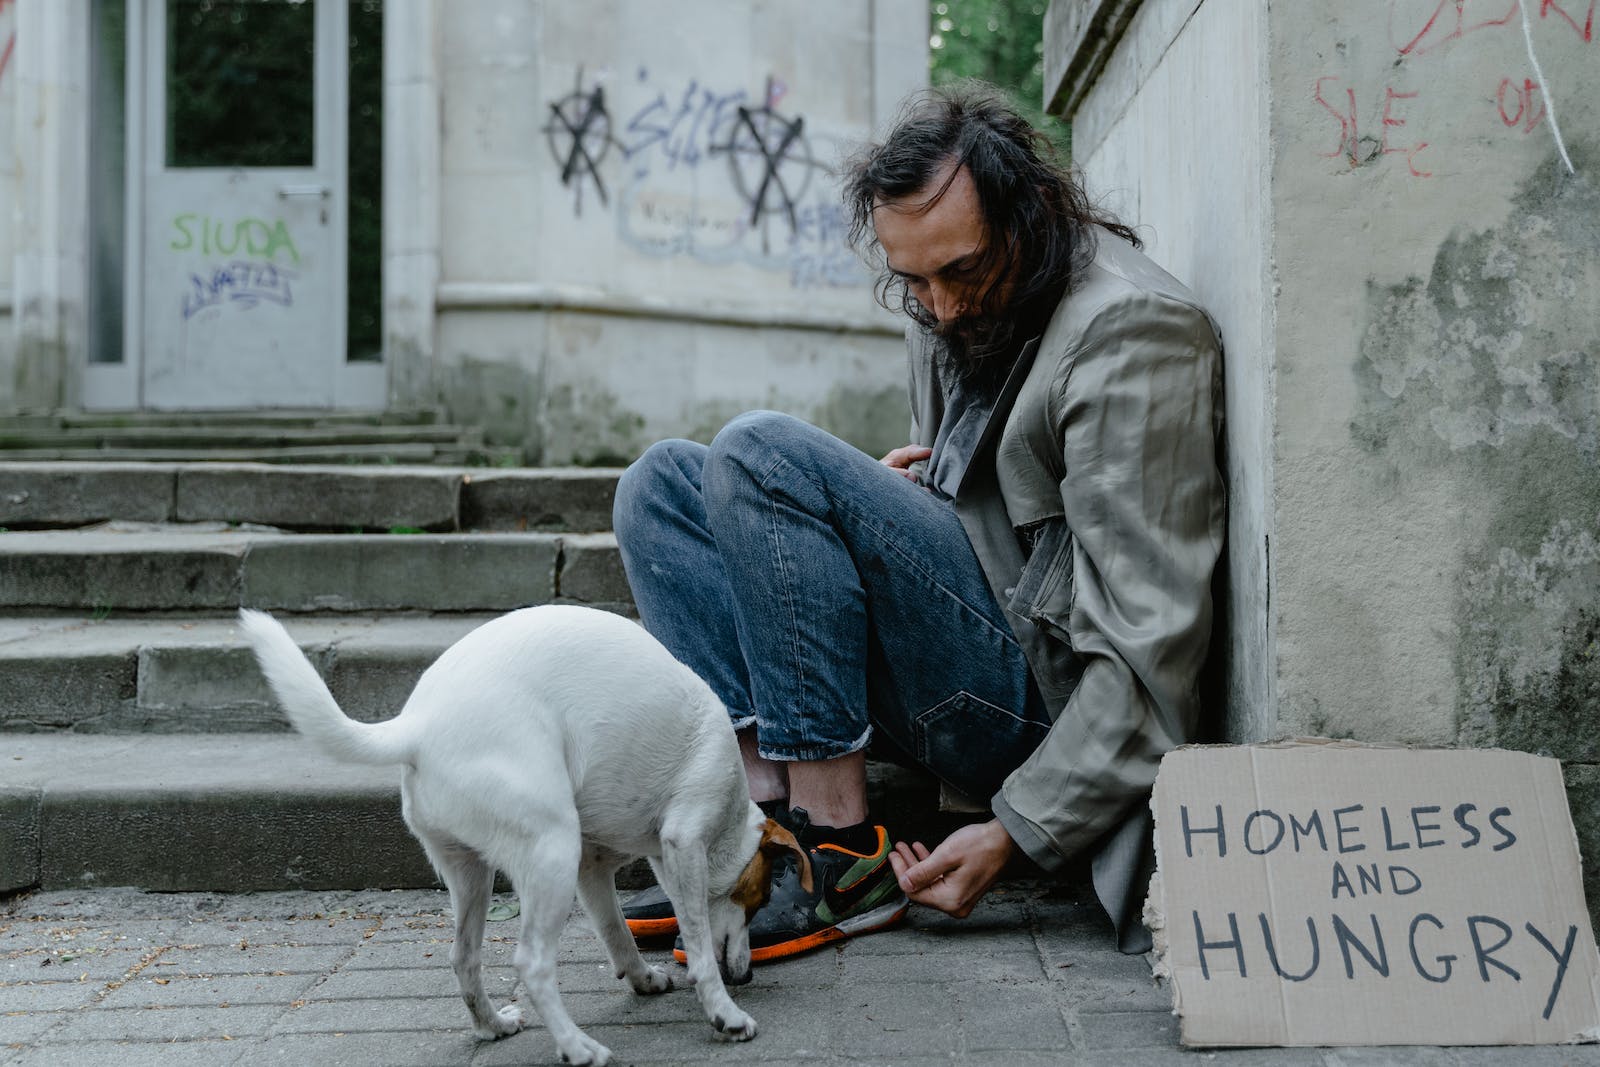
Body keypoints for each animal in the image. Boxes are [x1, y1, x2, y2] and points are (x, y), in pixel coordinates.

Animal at [236, 604, 806, 1062]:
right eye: (757, 899)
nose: (748, 976)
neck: (729, 819)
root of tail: (417, 726)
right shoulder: (682, 843)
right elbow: (701, 949)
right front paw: (724, 1013)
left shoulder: (592, 869)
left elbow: (615, 932)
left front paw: (642, 977)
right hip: (550, 853)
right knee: (532, 963)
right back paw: (577, 1048)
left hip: (474, 874)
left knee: (463, 957)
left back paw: (491, 1026)